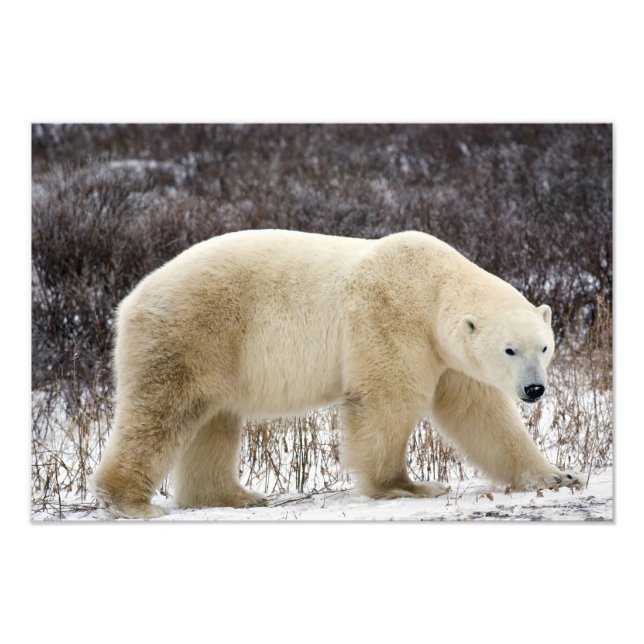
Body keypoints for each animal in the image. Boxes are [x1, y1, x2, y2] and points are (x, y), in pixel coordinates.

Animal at [92, 229, 581, 518]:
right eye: (509, 349)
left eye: (544, 346)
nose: (534, 389)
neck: (430, 283)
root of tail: (130, 299)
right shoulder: (388, 315)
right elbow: (387, 399)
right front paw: (408, 486)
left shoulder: (450, 356)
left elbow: (483, 415)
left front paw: (558, 477)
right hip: (192, 331)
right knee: (163, 411)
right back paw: (132, 502)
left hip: (219, 351)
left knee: (214, 421)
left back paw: (233, 495)